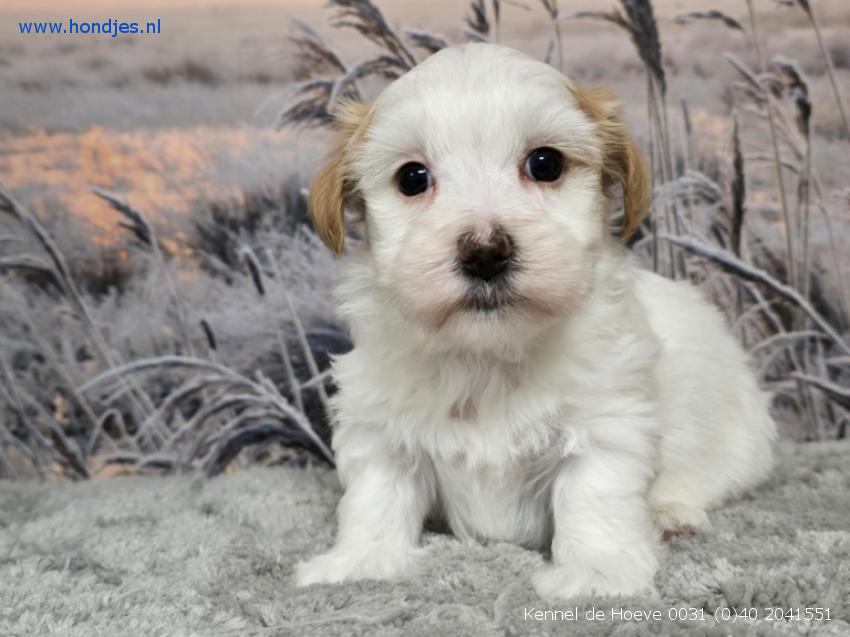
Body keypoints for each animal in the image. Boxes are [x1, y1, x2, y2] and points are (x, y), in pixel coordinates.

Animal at [294, 43, 776, 599]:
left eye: (545, 164)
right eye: (412, 178)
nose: (485, 252)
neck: (489, 353)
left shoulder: (605, 422)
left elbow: (594, 498)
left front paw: (597, 573)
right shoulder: (377, 423)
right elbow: (376, 494)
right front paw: (360, 562)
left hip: (738, 442)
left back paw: (671, 513)